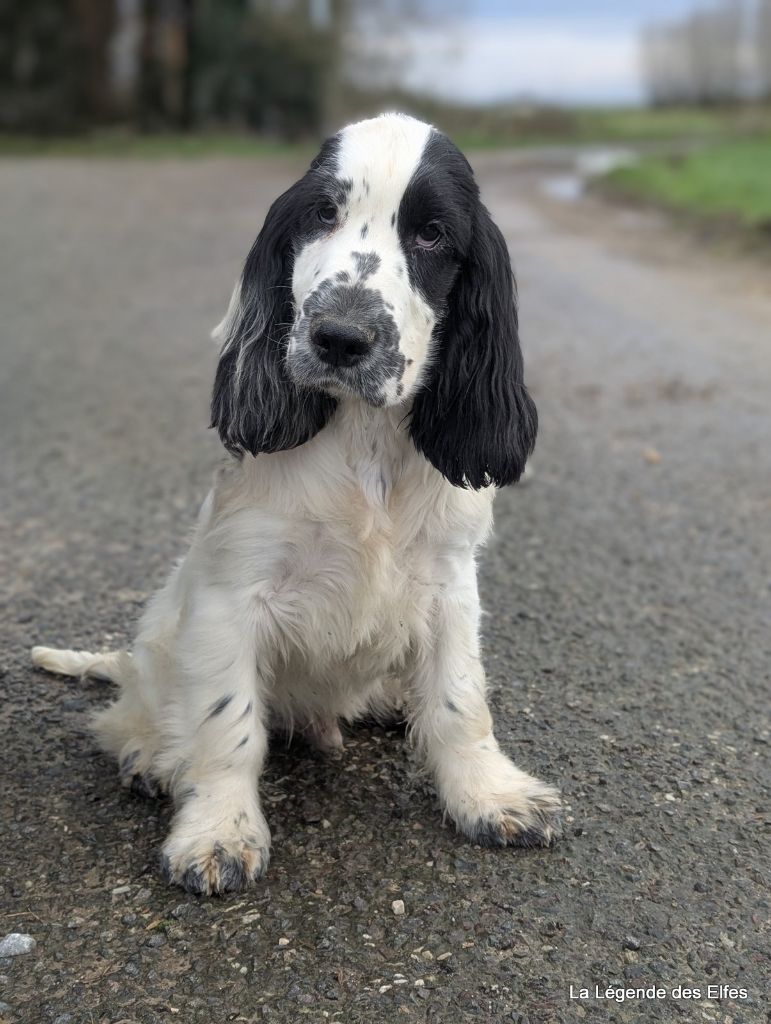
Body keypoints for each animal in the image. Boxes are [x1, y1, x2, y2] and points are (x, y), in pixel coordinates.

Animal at [31, 114, 561, 897]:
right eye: (322, 213)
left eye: (432, 234)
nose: (340, 339)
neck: (364, 442)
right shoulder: (231, 594)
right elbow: (228, 726)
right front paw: (218, 832)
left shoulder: (450, 582)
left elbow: (460, 701)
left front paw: (491, 795)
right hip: (159, 646)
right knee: (134, 716)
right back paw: (152, 759)